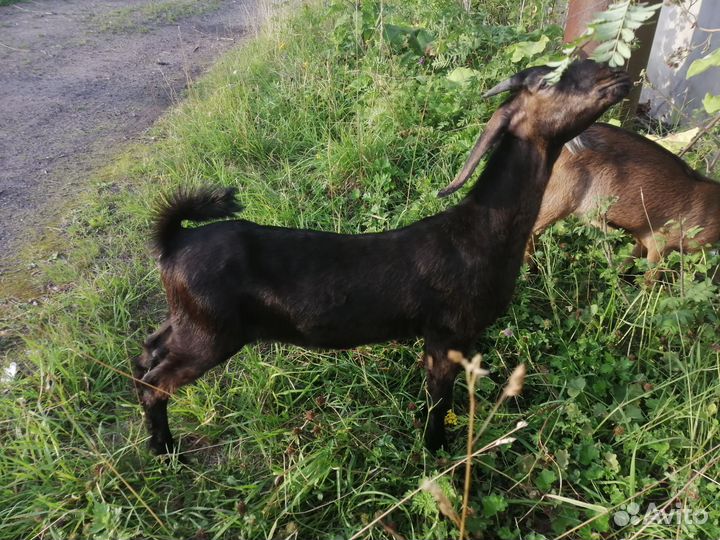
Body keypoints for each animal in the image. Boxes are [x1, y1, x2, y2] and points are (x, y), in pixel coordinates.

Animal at [133, 60, 630, 455]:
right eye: (548, 82)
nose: (615, 74)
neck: (479, 232)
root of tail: (173, 242)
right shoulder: (445, 334)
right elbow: (438, 401)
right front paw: (436, 451)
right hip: (212, 333)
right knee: (154, 382)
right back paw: (166, 451)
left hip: (188, 319)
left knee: (148, 352)